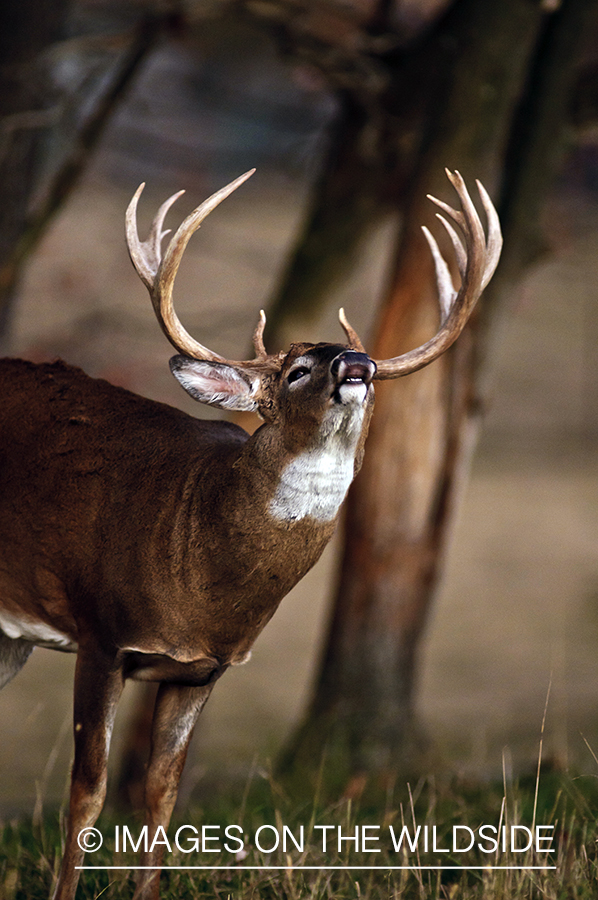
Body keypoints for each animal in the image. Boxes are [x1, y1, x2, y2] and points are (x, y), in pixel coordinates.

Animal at [0, 165, 502, 896]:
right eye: (296, 370)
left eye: (369, 365)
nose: (357, 364)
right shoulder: (101, 632)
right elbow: (87, 794)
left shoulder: (200, 670)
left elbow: (160, 793)